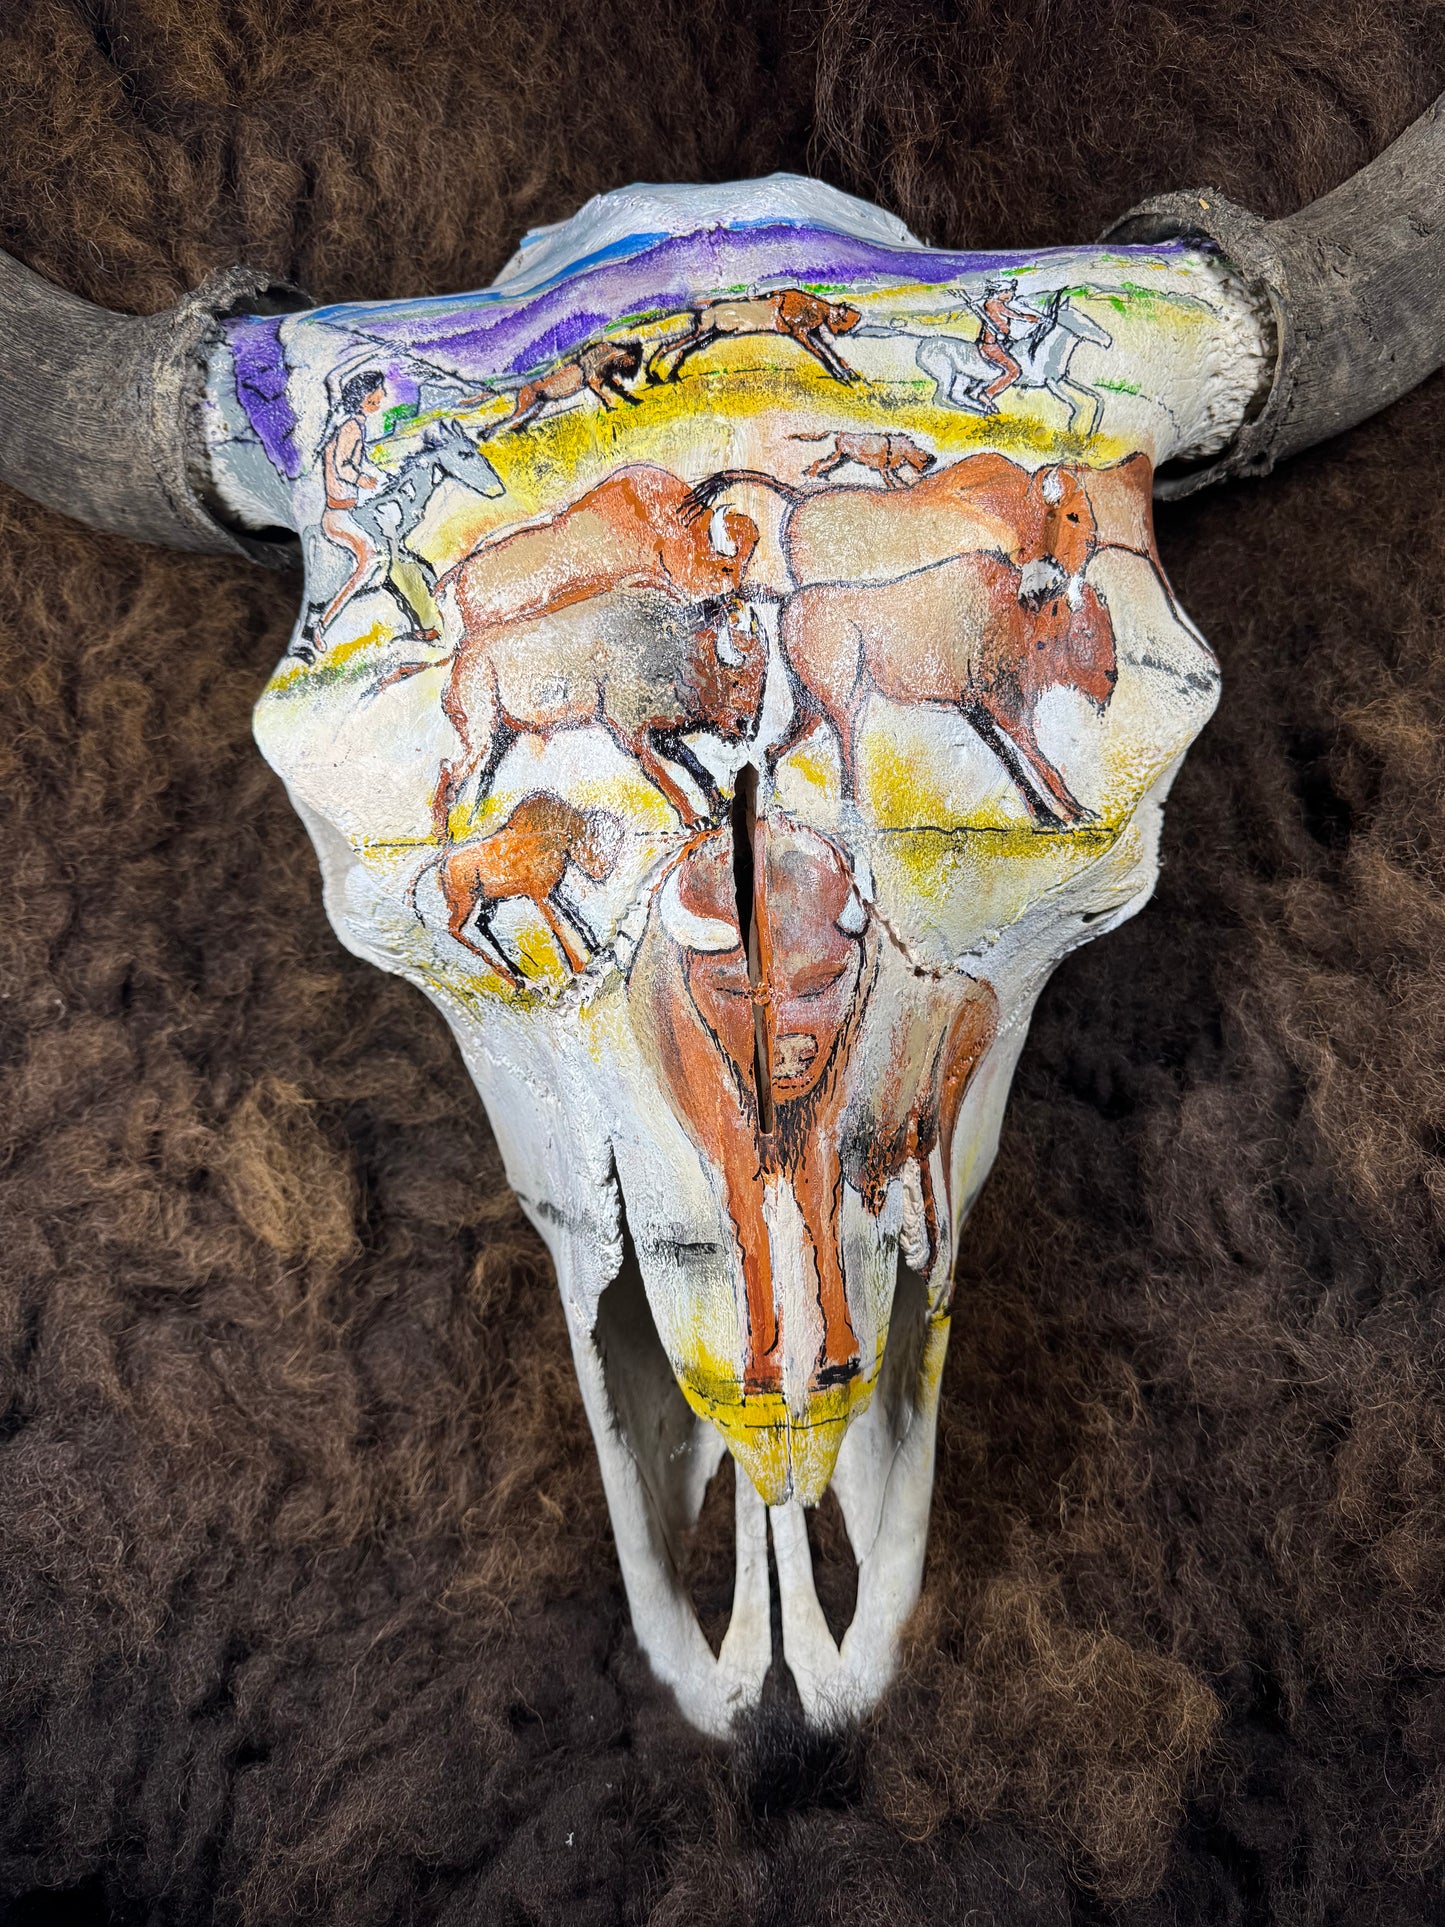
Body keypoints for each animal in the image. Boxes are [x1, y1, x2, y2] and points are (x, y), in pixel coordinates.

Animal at [644, 289, 864, 386]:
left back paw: (664, 375)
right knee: (675, 346)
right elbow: (823, 355)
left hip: (714, 333)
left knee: (684, 347)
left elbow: (831, 351)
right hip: (708, 330)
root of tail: (705, 309)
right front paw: (840, 376)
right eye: (843, 321)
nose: (842, 332)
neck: (813, 306)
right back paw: (659, 374)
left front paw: (850, 373)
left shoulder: (813, 333)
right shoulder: (800, 334)